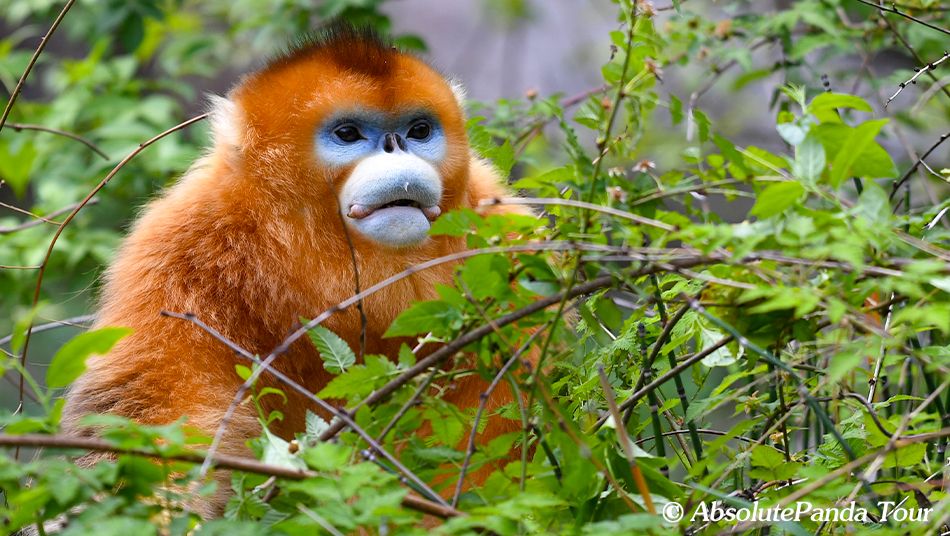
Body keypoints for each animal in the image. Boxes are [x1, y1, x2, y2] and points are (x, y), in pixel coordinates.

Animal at [60, 24, 531, 518]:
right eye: (348, 133)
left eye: (418, 131)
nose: (398, 150)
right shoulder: (176, 247)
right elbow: (151, 409)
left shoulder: (508, 241)